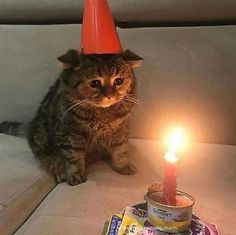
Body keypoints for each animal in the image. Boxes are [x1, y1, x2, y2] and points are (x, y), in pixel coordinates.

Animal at [0, 49, 142, 185]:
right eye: (95, 83)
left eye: (119, 81)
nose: (109, 95)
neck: (102, 113)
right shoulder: (69, 134)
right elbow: (74, 157)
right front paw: (75, 174)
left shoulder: (121, 130)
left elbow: (120, 150)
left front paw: (122, 165)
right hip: (42, 140)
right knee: (49, 161)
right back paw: (61, 172)